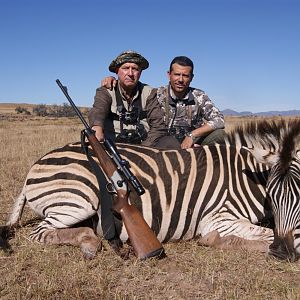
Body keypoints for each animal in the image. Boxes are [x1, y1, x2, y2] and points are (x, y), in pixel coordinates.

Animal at [2, 118, 298, 260]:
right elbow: (267, 233)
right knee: (40, 232)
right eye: (272, 194)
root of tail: (35, 165)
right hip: (78, 199)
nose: (282, 254)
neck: (245, 176)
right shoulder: (217, 217)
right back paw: (88, 242)